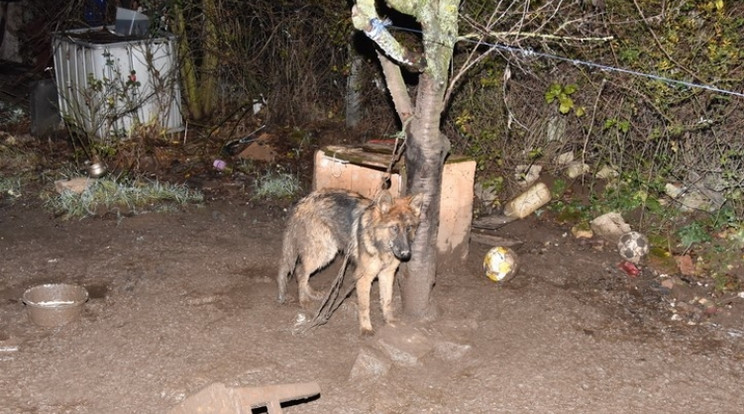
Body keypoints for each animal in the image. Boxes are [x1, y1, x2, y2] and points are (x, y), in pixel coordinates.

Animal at [276, 189, 424, 334]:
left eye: (409, 228)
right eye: (394, 228)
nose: (406, 254)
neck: (380, 244)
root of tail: (303, 201)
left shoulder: (387, 274)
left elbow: (387, 300)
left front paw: (390, 321)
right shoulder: (364, 277)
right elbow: (365, 306)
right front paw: (366, 328)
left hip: (325, 253)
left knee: (302, 272)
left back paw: (311, 293)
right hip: (323, 253)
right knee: (301, 271)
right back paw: (304, 300)